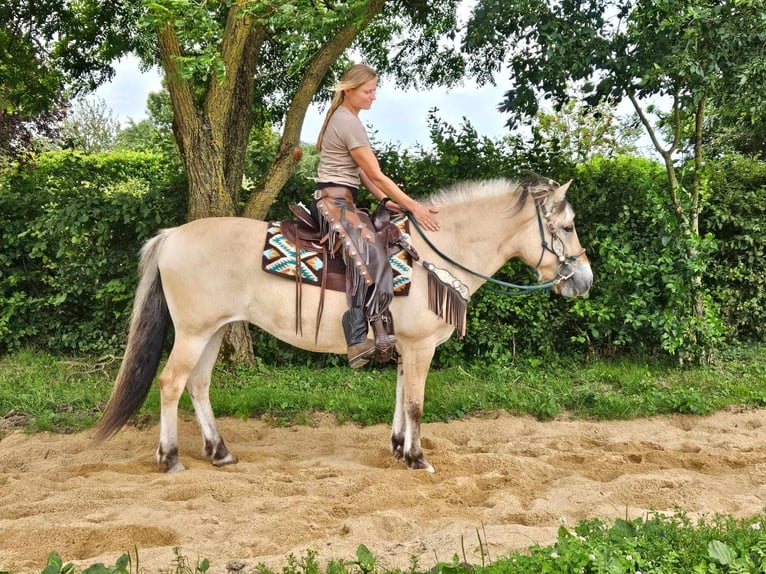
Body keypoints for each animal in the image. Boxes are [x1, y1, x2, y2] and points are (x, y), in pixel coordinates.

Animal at [96, 178, 592, 474]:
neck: (438, 254)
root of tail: (172, 235)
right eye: (568, 226)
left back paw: (220, 451)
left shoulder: (404, 346)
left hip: (215, 331)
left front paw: (398, 447)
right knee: (171, 384)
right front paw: (417, 458)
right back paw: (170, 458)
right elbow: (416, 403)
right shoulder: (421, 346)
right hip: (194, 332)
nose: (584, 280)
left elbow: (400, 397)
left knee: (198, 385)